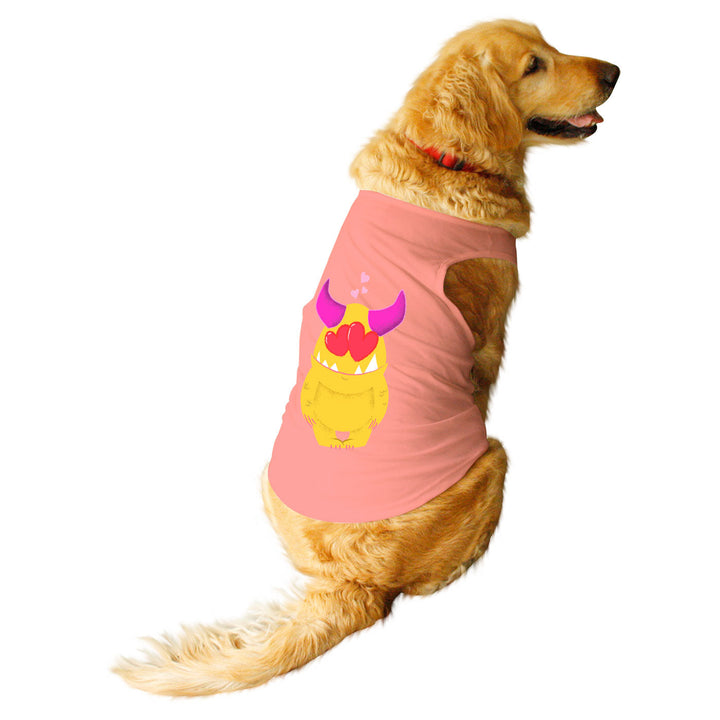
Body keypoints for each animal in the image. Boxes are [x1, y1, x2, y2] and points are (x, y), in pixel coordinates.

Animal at [114, 19, 619, 695]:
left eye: (552, 43)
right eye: (534, 65)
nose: (616, 73)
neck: (442, 155)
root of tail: (351, 582)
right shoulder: (489, 334)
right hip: (495, 457)